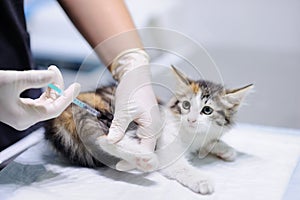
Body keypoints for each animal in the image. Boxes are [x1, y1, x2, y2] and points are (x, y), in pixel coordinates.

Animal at [44, 65, 252, 194]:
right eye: (186, 105)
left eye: (207, 110)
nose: (191, 119)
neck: (190, 134)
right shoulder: (168, 150)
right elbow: (182, 167)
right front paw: (202, 180)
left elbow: (209, 141)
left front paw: (224, 149)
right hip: (109, 116)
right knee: (105, 139)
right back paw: (145, 158)